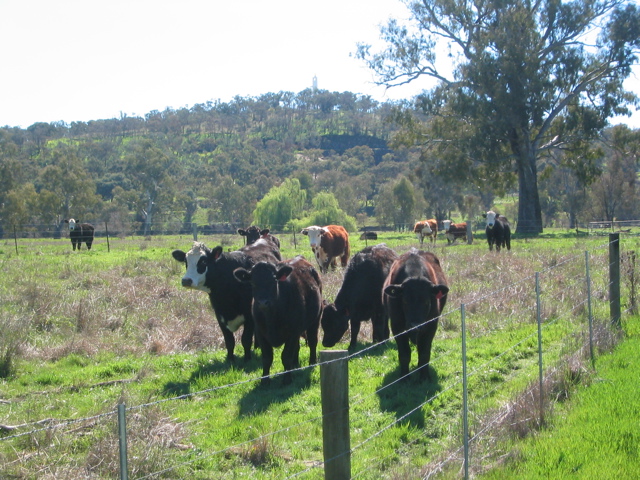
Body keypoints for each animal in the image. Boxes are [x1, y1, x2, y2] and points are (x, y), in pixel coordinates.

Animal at [384, 249, 450, 380]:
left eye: (426, 301)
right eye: (405, 301)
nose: (415, 325)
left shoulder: (431, 325)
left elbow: (424, 353)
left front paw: (424, 377)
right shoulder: (396, 325)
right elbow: (404, 354)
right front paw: (404, 378)